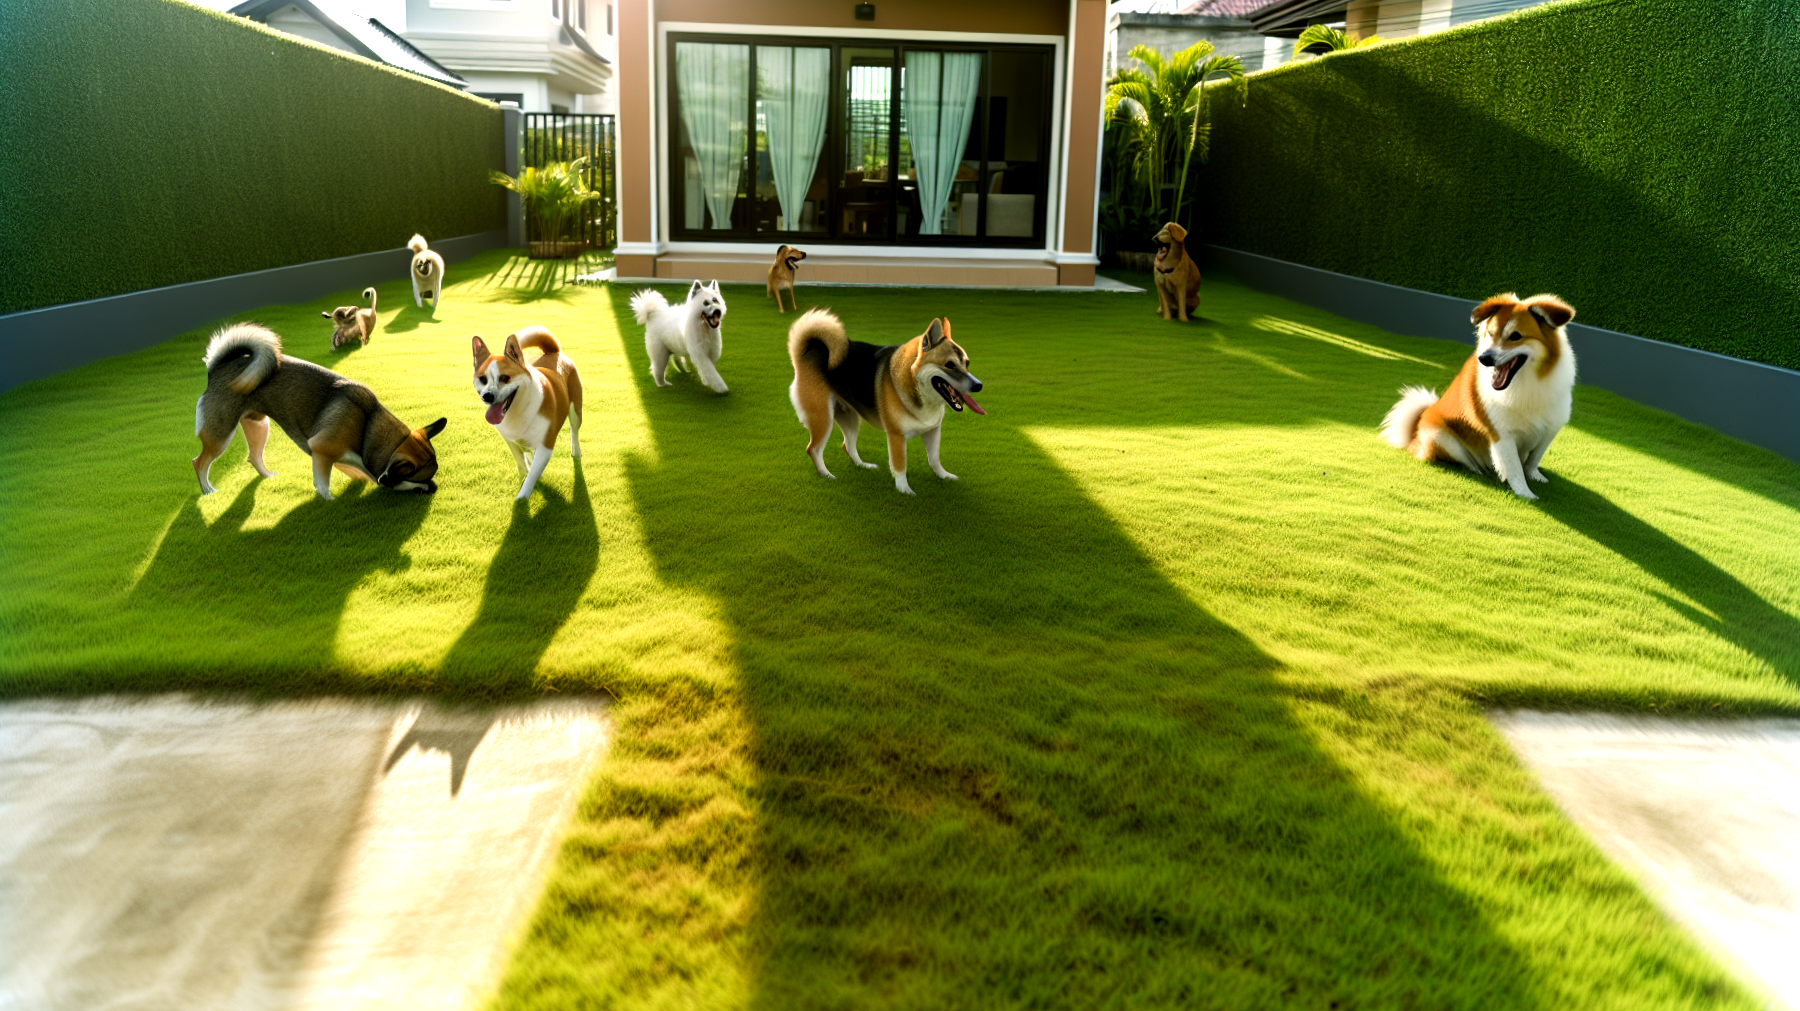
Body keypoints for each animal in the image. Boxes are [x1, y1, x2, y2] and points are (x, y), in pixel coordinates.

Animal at [190, 320, 446, 496]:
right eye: (418, 479)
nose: (434, 488)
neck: (367, 428)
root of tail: (217, 369)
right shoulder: (321, 449)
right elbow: (323, 483)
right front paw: (329, 501)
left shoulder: (343, 457)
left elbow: (357, 472)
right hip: (221, 434)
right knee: (200, 462)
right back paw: (208, 490)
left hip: (258, 425)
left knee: (254, 456)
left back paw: (267, 476)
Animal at [471, 323, 583, 496]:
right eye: (483, 379)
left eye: (505, 378)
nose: (487, 396)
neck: (518, 411)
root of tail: (553, 352)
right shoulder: (509, 439)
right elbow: (521, 462)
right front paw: (524, 475)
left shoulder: (545, 446)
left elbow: (533, 473)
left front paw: (522, 496)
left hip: (575, 409)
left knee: (574, 429)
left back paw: (576, 450)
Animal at [788, 307, 986, 496]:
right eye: (950, 365)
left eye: (967, 363)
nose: (978, 385)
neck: (914, 382)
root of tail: (807, 351)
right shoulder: (896, 436)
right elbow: (900, 466)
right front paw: (904, 490)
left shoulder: (933, 431)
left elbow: (934, 459)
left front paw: (944, 476)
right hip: (822, 418)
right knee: (813, 449)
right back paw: (826, 474)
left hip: (850, 417)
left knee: (848, 445)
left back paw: (863, 465)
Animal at [1375, 289, 1576, 496]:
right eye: (1490, 333)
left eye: (1516, 336)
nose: (1484, 358)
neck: (1528, 381)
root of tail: (1415, 432)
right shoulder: (1502, 434)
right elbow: (1514, 468)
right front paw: (1526, 494)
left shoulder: (1551, 427)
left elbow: (1534, 458)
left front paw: (1535, 475)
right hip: (1440, 435)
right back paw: (1478, 469)